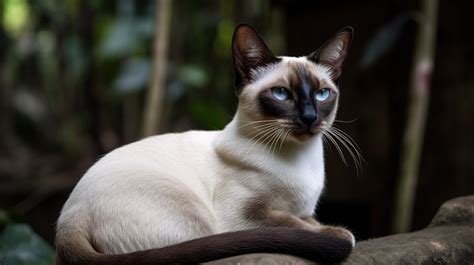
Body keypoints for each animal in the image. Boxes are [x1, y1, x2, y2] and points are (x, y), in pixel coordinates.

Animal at [54, 23, 356, 262]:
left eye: (322, 94)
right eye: (281, 94)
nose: (309, 117)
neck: (301, 159)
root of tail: (68, 216)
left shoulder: (304, 209)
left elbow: (307, 219)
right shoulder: (246, 215)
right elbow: (291, 222)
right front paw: (341, 234)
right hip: (199, 220)